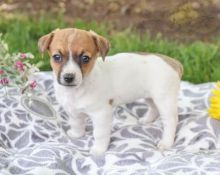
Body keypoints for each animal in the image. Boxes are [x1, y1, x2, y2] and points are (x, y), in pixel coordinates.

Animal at [38, 27, 183, 156]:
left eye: (85, 58)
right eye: (57, 57)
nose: (69, 77)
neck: (77, 89)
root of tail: (174, 63)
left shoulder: (101, 114)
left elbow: (99, 134)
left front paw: (99, 150)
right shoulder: (73, 111)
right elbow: (76, 124)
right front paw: (77, 134)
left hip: (164, 100)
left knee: (171, 121)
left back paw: (166, 142)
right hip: (151, 96)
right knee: (154, 108)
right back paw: (146, 120)